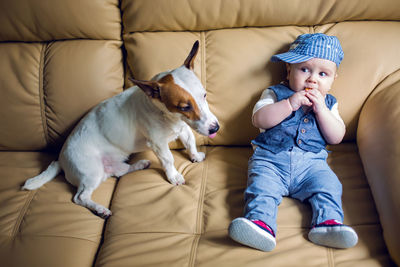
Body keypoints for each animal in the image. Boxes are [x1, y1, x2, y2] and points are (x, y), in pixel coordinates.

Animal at [22, 40, 219, 219]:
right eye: (184, 107)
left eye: (204, 95)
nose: (215, 128)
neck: (168, 116)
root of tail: (61, 160)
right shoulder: (158, 143)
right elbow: (168, 159)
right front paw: (174, 176)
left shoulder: (183, 128)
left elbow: (190, 142)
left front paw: (195, 155)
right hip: (91, 173)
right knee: (80, 197)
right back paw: (100, 209)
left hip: (111, 166)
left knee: (119, 172)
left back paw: (140, 164)